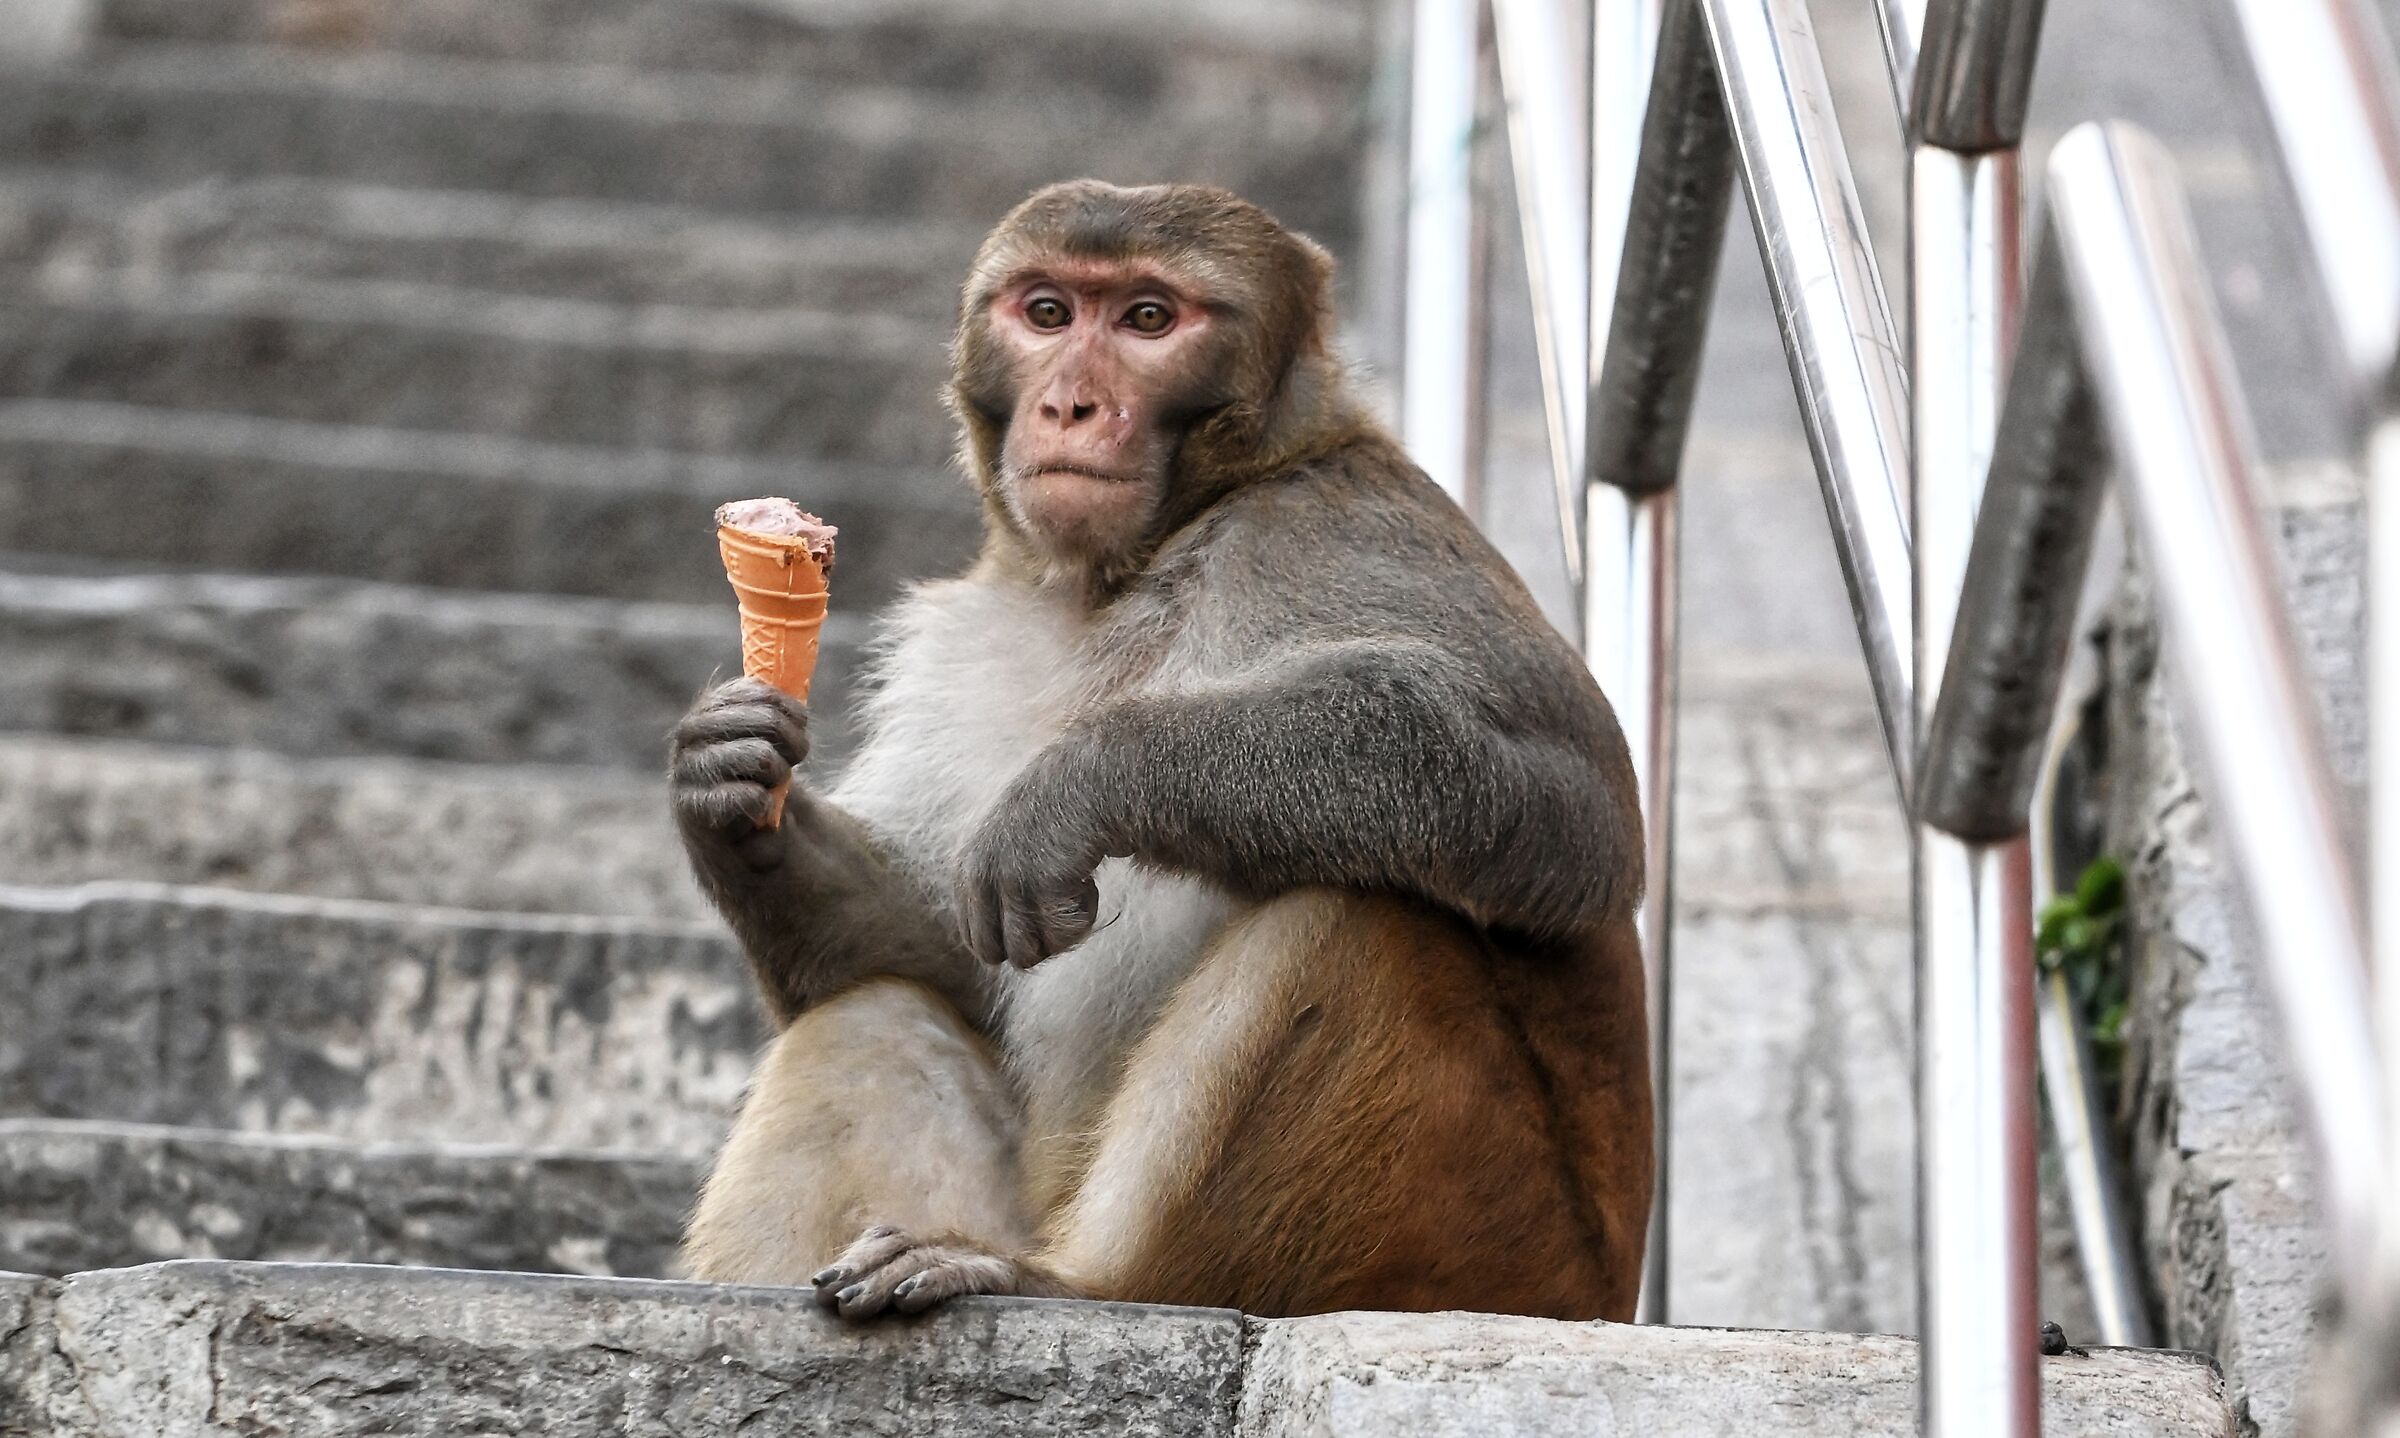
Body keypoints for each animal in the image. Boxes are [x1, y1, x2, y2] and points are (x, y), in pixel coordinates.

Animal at [670, 180, 1654, 1322]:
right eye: (1048, 313)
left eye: (1149, 320)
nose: (1071, 405)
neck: (1133, 565)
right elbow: (950, 959)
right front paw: (727, 789)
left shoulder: (1340, 536)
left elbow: (1565, 808)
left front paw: (1083, 782)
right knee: (874, 1014)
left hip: (1485, 1250)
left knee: (1351, 911)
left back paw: (1078, 1283)